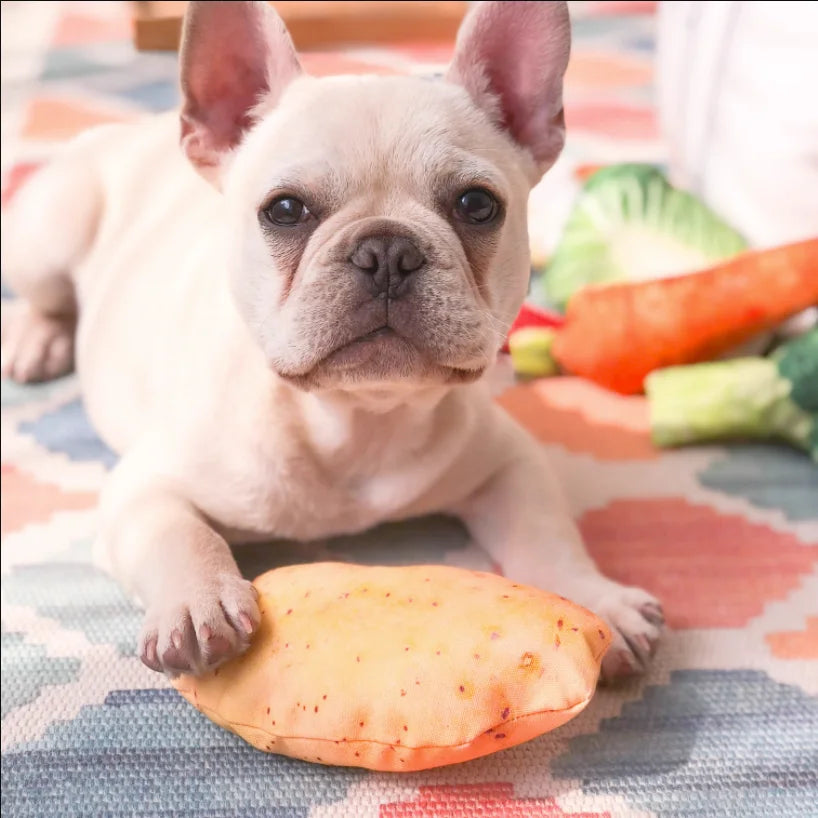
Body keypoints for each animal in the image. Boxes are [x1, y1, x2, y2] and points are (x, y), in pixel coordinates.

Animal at [1, 0, 664, 676]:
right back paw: (35, 341)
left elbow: (548, 535)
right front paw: (196, 603)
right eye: (284, 210)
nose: (387, 250)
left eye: (477, 205)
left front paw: (594, 600)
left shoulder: (509, 462)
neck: (356, 417)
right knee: (47, 297)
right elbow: (181, 533)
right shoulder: (144, 488)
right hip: (48, 237)